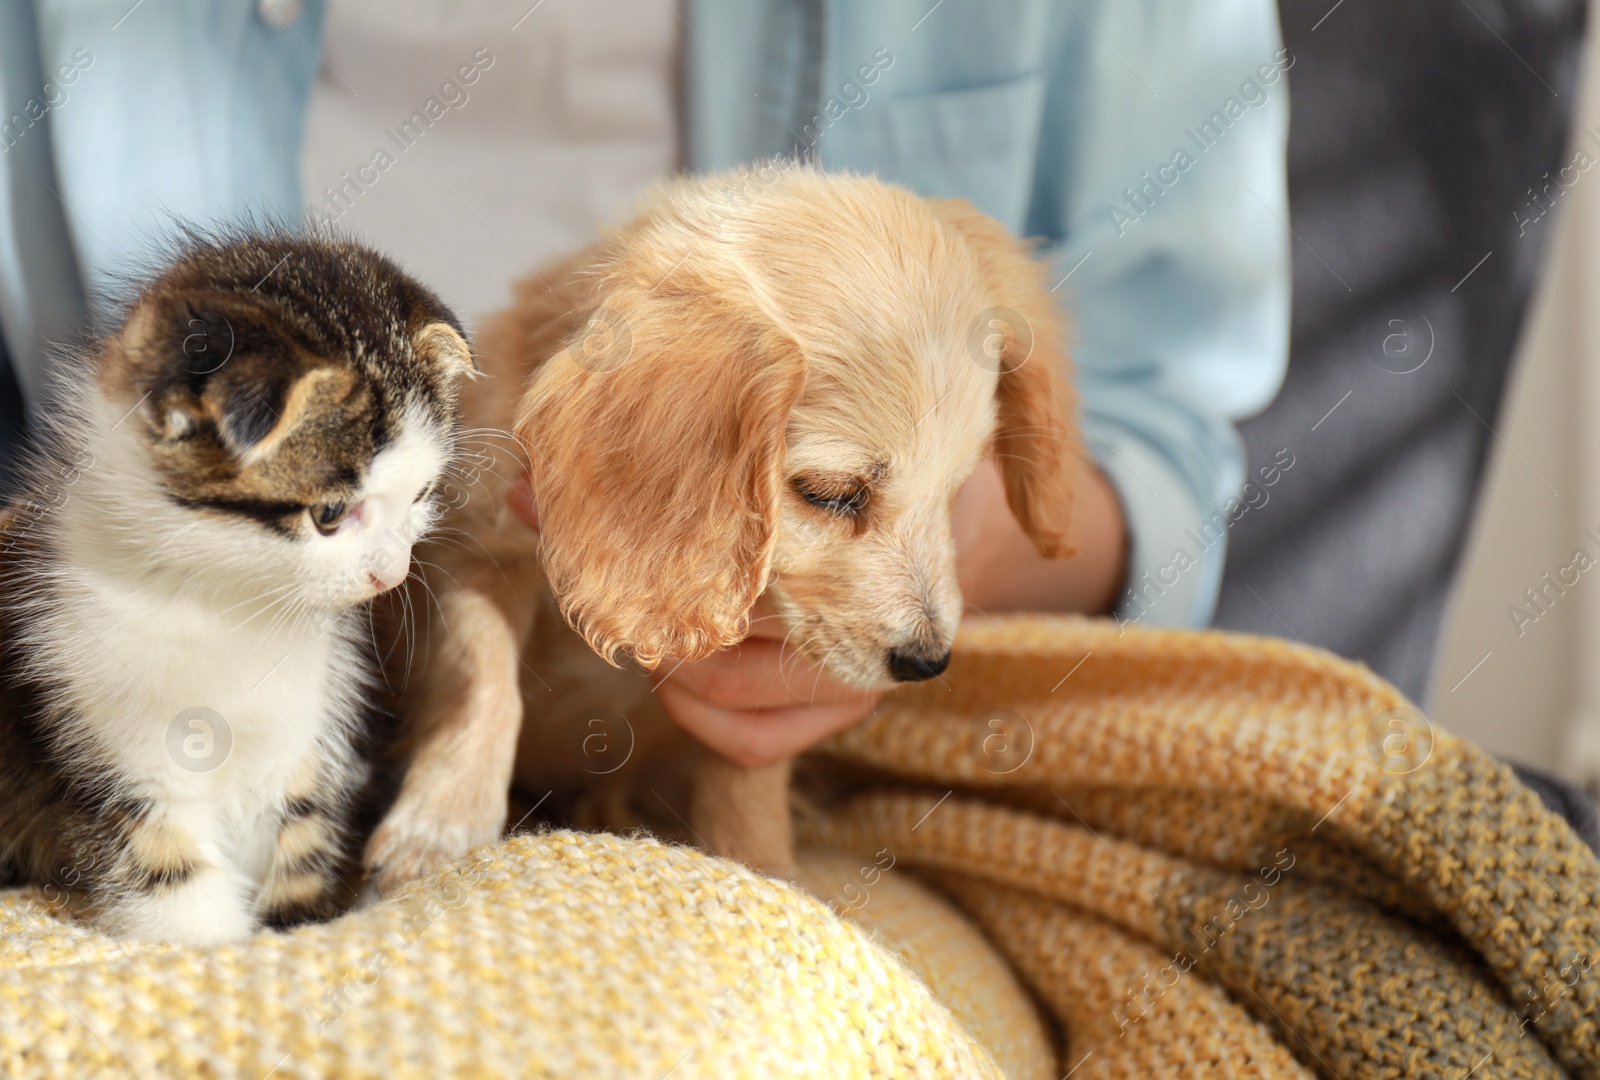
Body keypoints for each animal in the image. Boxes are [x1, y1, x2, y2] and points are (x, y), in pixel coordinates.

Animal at [0, 232, 473, 940]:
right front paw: (212, 945)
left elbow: (297, 840)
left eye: (420, 496)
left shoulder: (302, 734)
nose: (392, 572)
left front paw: (294, 928)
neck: (225, 604)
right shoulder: (101, 737)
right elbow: (169, 872)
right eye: (329, 513)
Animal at [368, 168, 1081, 889]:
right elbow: (481, 676)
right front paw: (443, 821)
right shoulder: (473, 549)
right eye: (831, 494)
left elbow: (746, 771)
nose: (926, 662)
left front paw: (757, 865)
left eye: (957, 492)